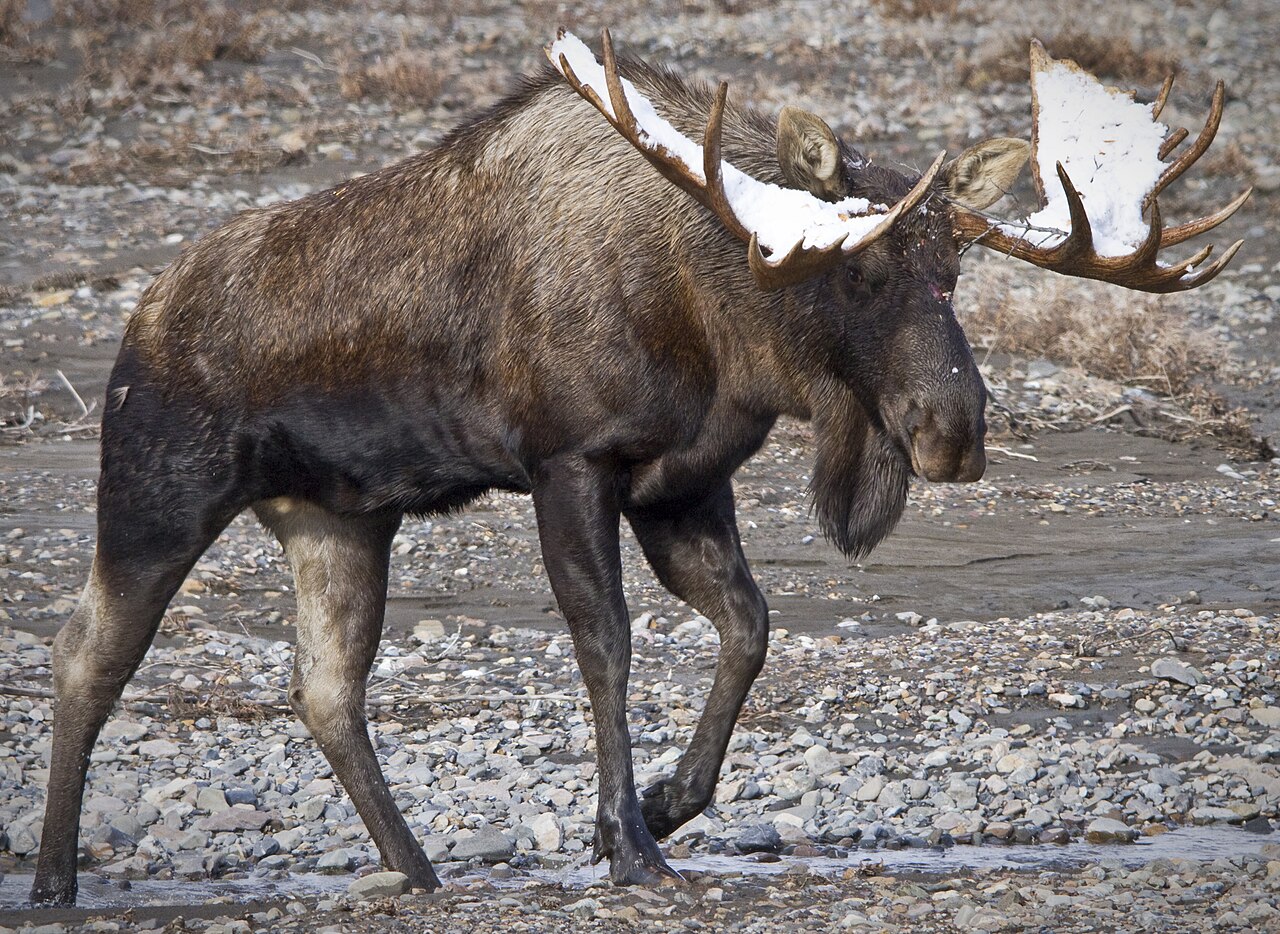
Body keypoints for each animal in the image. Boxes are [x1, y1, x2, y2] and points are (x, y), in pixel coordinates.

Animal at [31, 29, 1248, 903]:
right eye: (857, 270)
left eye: (955, 267)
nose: (955, 428)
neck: (721, 324)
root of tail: (138, 314)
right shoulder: (570, 460)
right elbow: (605, 644)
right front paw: (625, 843)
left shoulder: (685, 482)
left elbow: (750, 628)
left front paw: (665, 805)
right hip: (155, 490)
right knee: (86, 653)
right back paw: (52, 879)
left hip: (338, 518)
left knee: (326, 687)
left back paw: (419, 871)